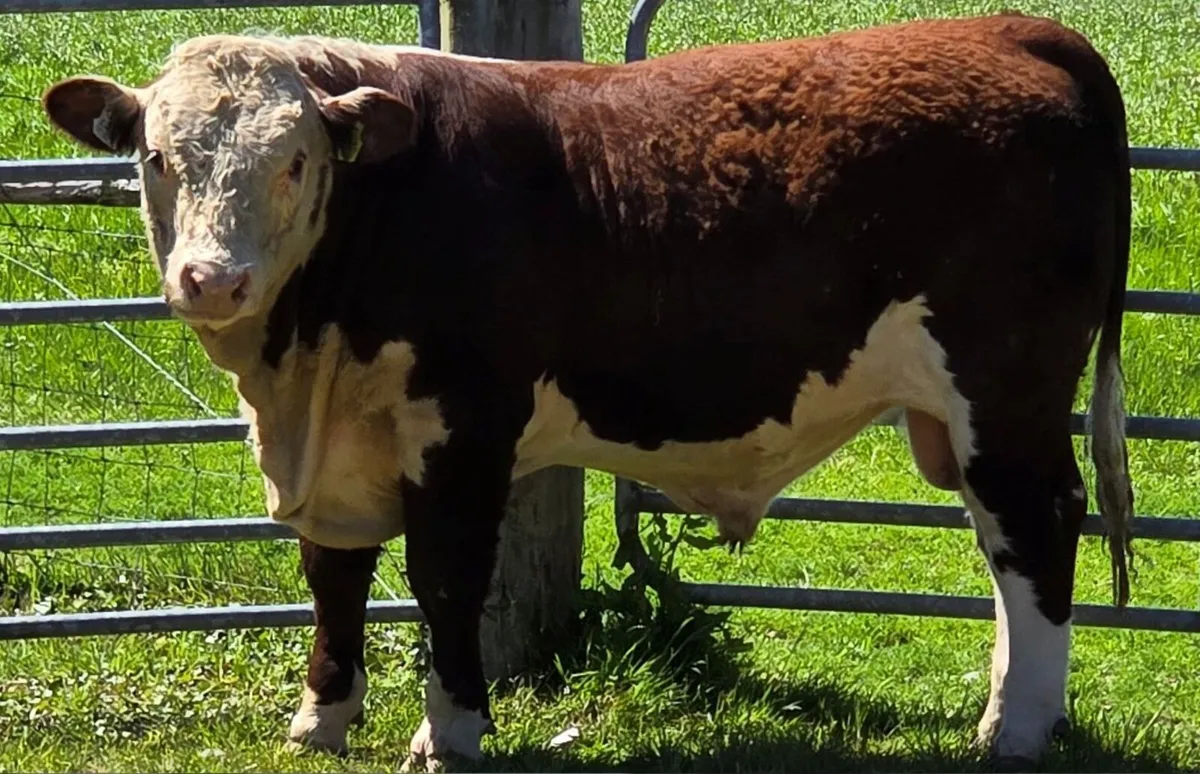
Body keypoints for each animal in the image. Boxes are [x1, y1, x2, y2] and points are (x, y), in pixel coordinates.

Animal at [42, 11, 1134, 770]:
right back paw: (1003, 712)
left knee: (1037, 528)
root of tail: (1015, 29)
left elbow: (444, 579)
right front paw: (321, 719)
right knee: (1002, 547)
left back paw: (1019, 730)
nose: (211, 279)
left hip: (1005, 387)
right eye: (155, 158)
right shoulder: (336, 447)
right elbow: (334, 575)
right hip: (961, 414)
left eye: (294, 161)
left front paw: (451, 732)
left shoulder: (463, 428)